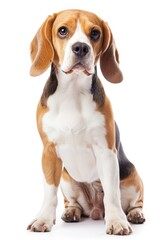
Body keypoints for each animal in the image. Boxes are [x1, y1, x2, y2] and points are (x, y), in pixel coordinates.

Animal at [27, 8, 145, 234]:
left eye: (95, 33)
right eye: (62, 31)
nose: (81, 47)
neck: (72, 91)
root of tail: (95, 210)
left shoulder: (106, 152)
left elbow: (112, 195)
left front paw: (116, 221)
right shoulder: (49, 152)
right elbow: (49, 192)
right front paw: (44, 218)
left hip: (133, 179)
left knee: (132, 201)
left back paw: (134, 214)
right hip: (67, 180)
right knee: (73, 203)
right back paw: (71, 211)